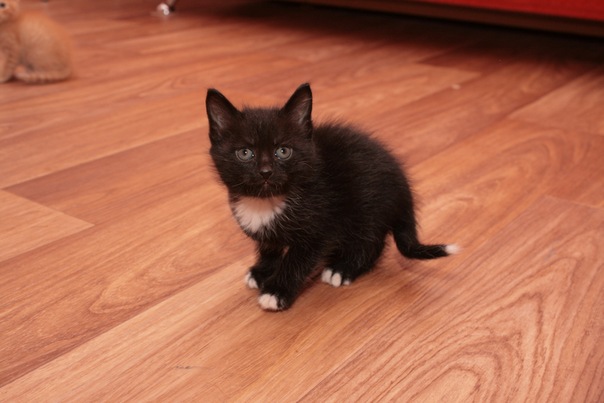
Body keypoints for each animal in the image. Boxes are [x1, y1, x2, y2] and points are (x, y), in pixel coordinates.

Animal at [206, 83, 458, 311]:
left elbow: (296, 261)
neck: (266, 201)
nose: (265, 172)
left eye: (283, 151)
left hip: (366, 211)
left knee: (371, 243)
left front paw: (276, 291)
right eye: (245, 153)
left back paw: (343, 269)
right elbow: (269, 247)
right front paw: (261, 271)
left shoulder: (321, 228)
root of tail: (404, 191)